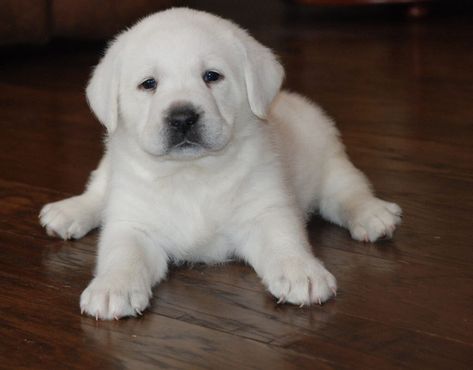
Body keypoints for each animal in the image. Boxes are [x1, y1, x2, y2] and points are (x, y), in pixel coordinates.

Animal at [41, 8, 402, 320]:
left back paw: (373, 214)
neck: (191, 173)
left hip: (329, 159)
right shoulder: (132, 222)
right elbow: (123, 253)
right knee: (97, 190)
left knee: (348, 191)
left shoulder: (265, 209)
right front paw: (112, 286)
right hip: (108, 172)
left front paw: (301, 271)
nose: (182, 118)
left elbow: (285, 239)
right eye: (148, 84)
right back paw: (68, 212)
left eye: (212, 76)